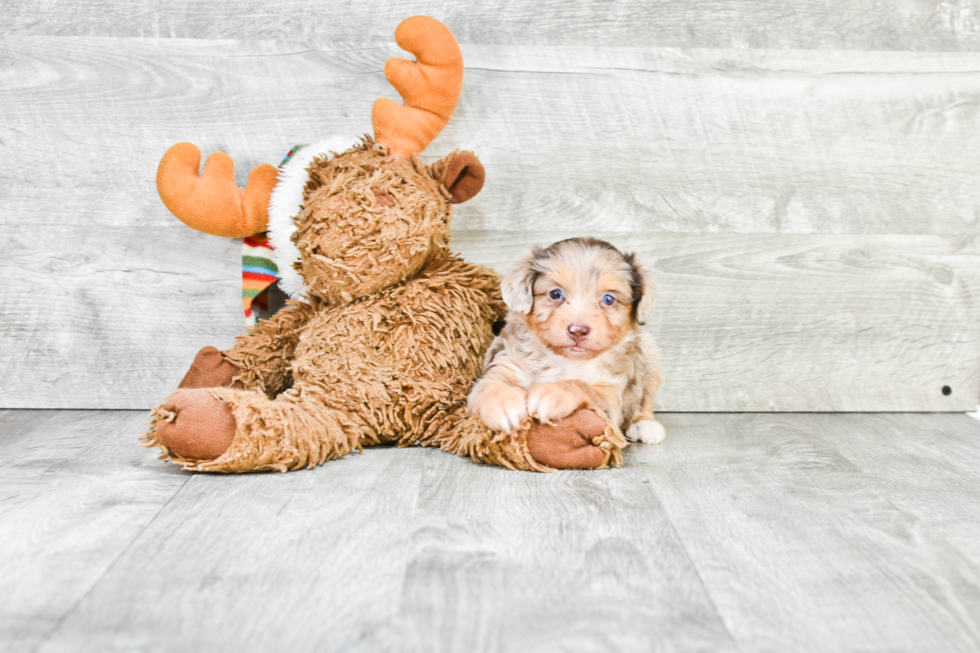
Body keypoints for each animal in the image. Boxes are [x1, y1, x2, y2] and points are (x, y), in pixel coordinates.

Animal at [468, 237, 668, 446]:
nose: (578, 331)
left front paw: (553, 392)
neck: (565, 360)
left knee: (644, 400)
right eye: (555, 294)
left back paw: (645, 425)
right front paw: (503, 404)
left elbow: (582, 386)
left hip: (650, 354)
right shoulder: (508, 363)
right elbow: (490, 384)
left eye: (608, 299)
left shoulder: (610, 398)